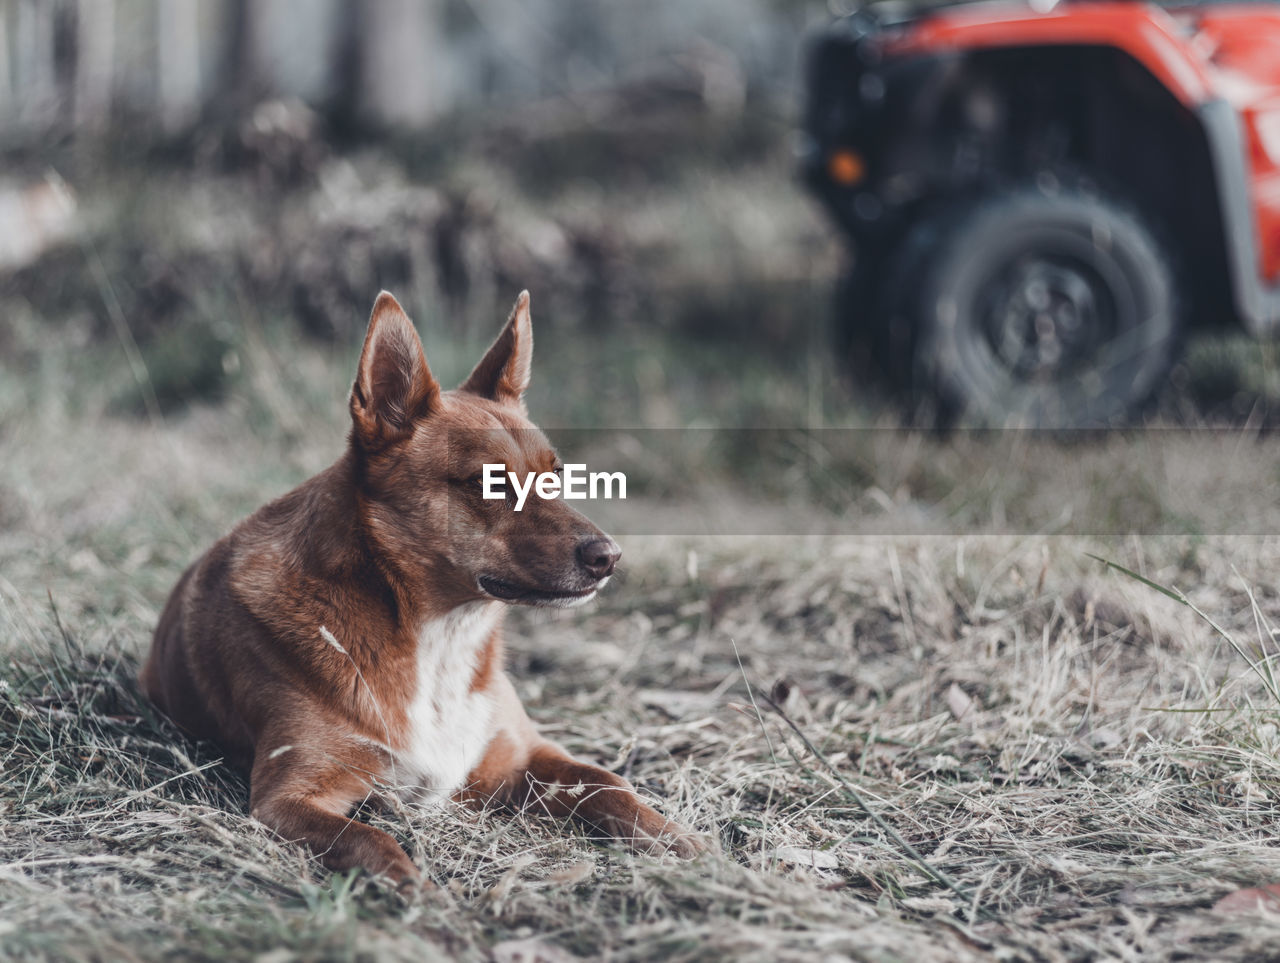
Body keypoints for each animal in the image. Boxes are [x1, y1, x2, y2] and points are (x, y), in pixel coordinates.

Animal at [142, 289, 701, 886]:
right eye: (490, 482)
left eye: (555, 475)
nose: (609, 558)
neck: (441, 637)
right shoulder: (286, 798)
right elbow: (369, 839)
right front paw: (416, 893)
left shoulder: (524, 757)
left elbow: (609, 784)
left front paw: (682, 840)